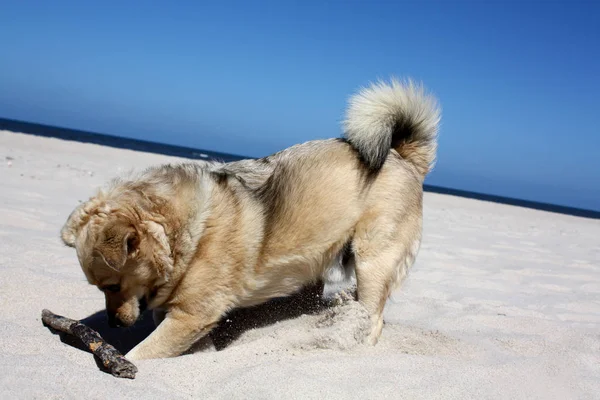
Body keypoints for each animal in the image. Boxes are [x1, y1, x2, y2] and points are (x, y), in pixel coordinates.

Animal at [59, 77, 440, 360]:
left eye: (111, 286)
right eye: (100, 289)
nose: (112, 324)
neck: (184, 232)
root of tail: (404, 156)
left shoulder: (190, 315)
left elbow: (143, 352)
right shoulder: (181, 313)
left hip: (372, 260)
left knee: (372, 317)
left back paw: (353, 343)